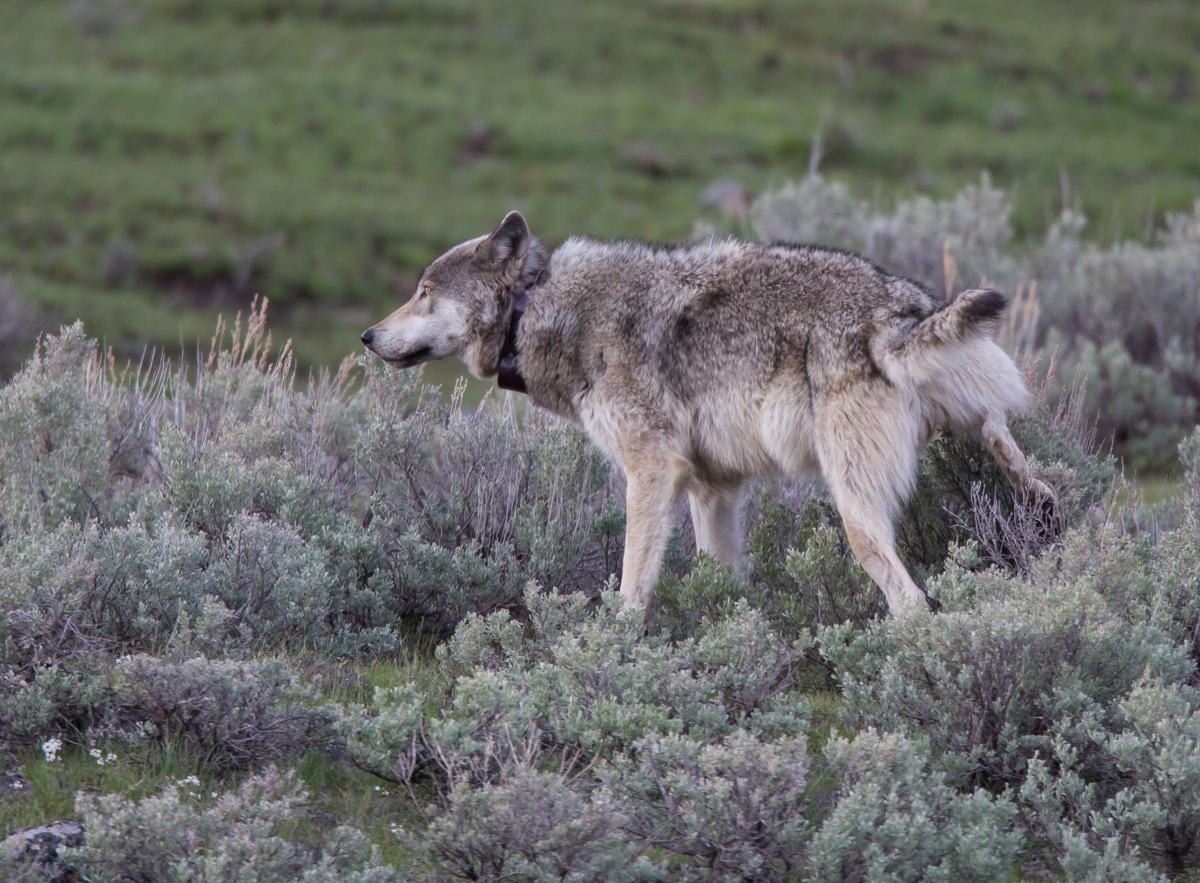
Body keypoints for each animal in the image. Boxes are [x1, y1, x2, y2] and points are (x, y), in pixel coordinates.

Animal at [361, 211, 1052, 618]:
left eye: (424, 292)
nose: (368, 336)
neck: (541, 310)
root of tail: (898, 309)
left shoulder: (652, 470)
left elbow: (630, 590)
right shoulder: (713, 488)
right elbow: (725, 583)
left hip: (854, 504)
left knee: (909, 599)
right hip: (968, 425)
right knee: (1015, 454)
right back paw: (1042, 513)